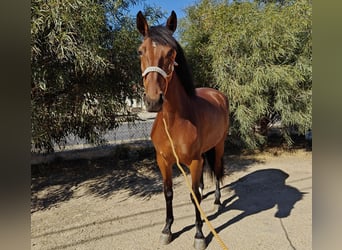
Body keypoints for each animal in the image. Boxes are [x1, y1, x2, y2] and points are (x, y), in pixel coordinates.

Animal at [136, 10, 230, 249]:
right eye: (140, 51)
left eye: (171, 52)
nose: (153, 101)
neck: (174, 122)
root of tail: (217, 94)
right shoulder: (163, 161)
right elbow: (168, 193)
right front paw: (167, 229)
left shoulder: (194, 161)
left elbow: (193, 195)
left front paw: (199, 234)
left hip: (219, 145)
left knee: (216, 169)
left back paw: (217, 201)